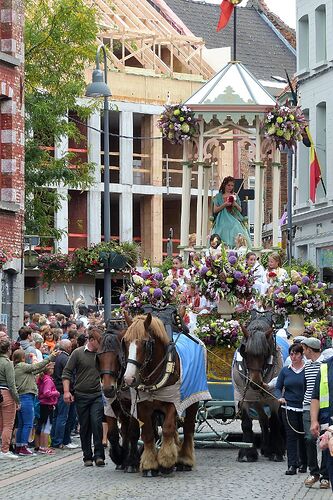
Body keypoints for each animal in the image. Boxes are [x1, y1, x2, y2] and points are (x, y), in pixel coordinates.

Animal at [96, 320, 141, 472]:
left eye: (117, 356)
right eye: (99, 357)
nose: (108, 388)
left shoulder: (135, 405)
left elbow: (133, 432)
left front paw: (132, 462)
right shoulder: (111, 405)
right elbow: (113, 434)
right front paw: (118, 456)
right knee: (124, 430)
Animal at [123, 312, 198, 476]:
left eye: (145, 343)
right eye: (124, 341)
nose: (129, 378)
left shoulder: (174, 402)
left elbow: (168, 428)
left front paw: (166, 461)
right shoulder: (142, 405)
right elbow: (148, 433)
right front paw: (150, 465)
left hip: (193, 401)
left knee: (188, 428)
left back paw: (185, 460)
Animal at [232, 310, 284, 462]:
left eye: (265, 353)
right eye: (245, 352)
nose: (255, 383)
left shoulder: (274, 400)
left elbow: (275, 422)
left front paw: (276, 452)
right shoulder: (243, 398)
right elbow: (247, 423)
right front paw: (247, 452)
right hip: (258, 402)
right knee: (263, 420)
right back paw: (266, 448)